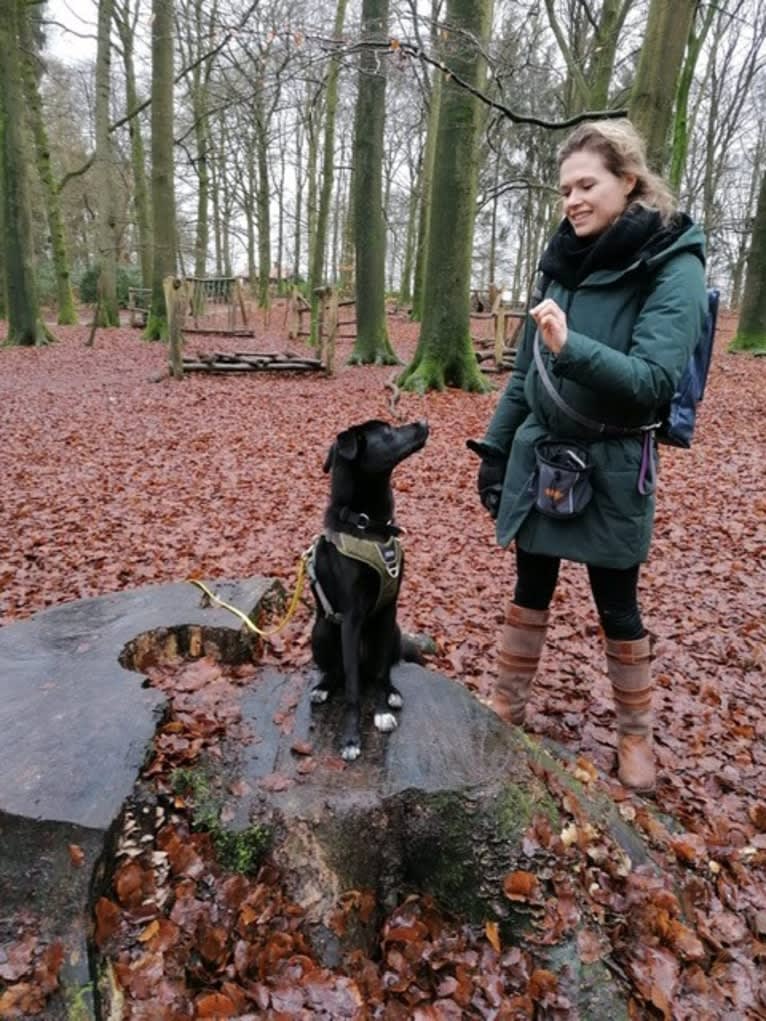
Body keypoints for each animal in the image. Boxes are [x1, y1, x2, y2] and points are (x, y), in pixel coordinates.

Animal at [312, 414, 433, 759]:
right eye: (388, 431)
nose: (423, 421)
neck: (367, 525)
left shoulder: (388, 610)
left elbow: (381, 672)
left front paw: (381, 711)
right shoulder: (351, 618)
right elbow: (352, 688)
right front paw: (351, 738)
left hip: (394, 631)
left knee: (383, 669)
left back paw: (391, 692)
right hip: (321, 632)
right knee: (338, 672)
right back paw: (323, 687)